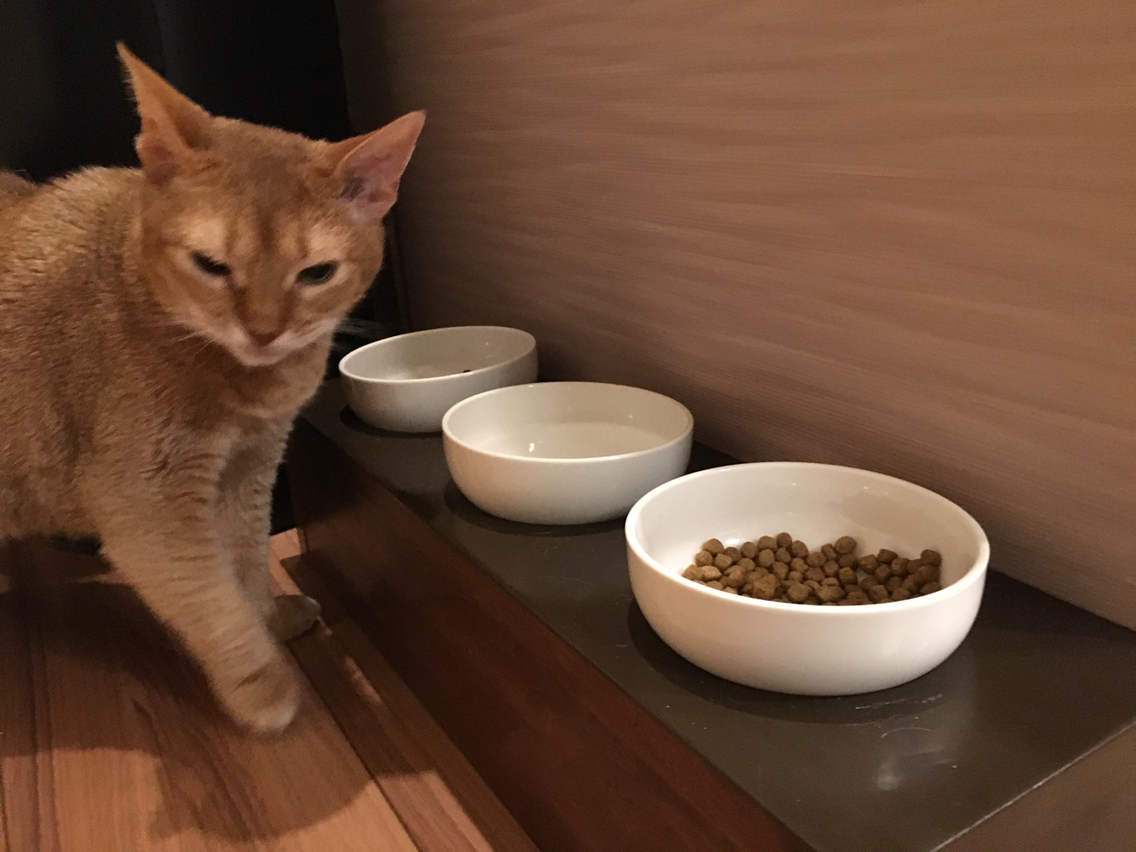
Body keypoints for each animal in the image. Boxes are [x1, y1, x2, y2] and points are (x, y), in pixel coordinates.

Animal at [0, 44, 424, 732]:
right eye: (211, 265)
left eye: (316, 273)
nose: (264, 330)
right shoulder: (145, 504)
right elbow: (213, 604)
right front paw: (264, 687)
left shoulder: (248, 469)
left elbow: (246, 562)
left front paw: (272, 616)